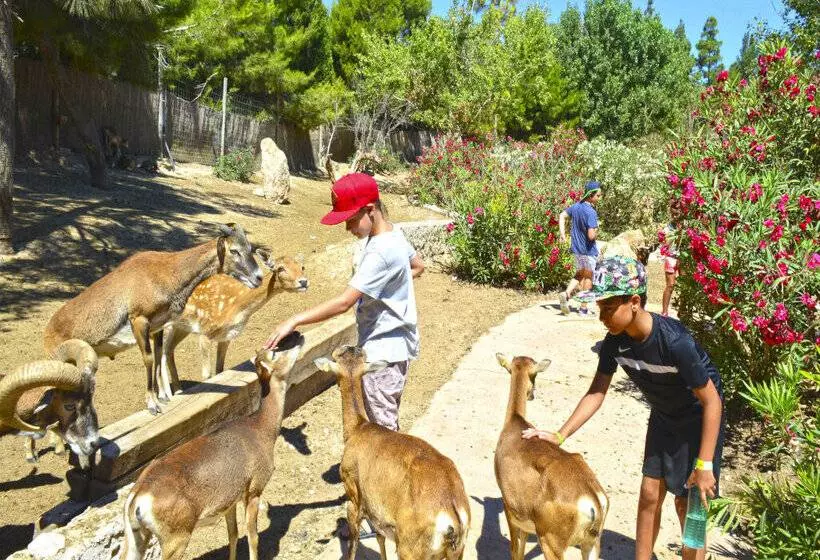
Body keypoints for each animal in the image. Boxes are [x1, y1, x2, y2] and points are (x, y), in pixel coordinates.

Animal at [43, 224, 262, 414]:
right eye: (234, 251)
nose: (258, 277)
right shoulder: (139, 321)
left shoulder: (158, 327)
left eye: (250, 248)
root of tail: (47, 333)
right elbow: (148, 359)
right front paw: (152, 405)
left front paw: (162, 398)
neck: (165, 274)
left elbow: (157, 358)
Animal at [119, 333, 304, 560]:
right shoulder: (254, 490)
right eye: (274, 353)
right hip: (176, 538)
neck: (261, 430)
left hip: (136, 537)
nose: (298, 335)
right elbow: (253, 537)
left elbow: (233, 534)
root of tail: (137, 497)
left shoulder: (230, 501)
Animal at [155, 250, 309, 400]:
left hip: (181, 327)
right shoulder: (205, 331)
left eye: (302, 267)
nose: (304, 281)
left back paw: (178, 391)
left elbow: (220, 370)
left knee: (168, 351)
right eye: (280, 268)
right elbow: (207, 375)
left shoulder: (226, 336)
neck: (237, 309)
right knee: (160, 354)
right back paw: (165, 396)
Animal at [314, 345, 470, 560]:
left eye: (335, 357)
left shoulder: (353, 493)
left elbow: (353, 542)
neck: (357, 429)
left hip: (409, 548)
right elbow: (380, 537)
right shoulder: (376, 511)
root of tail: (453, 518)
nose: (351, 346)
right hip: (456, 551)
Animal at [494, 354, 608, 560]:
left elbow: (515, 549)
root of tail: (594, 502)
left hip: (551, 539)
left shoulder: (508, 504)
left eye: (535, 374)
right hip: (592, 542)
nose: (532, 394)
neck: (514, 423)